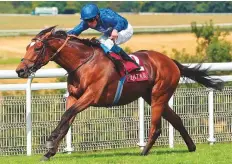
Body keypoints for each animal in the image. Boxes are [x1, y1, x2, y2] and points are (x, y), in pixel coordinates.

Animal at [15, 26, 224, 161]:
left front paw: (50, 141)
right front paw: (49, 152)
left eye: (37, 47)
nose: (20, 70)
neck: (83, 63)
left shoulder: (91, 96)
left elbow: (67, 115)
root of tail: (171, 61)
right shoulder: (74, 97)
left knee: (156, 127)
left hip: (159, 95)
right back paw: (191, 147)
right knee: (177, 120)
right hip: (152, 96)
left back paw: (144, 152)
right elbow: (66, 120)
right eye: (26, 47)